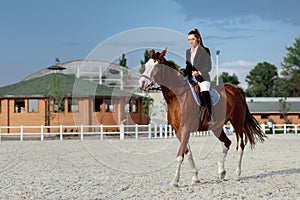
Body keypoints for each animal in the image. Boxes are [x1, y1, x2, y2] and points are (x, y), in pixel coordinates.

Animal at [139, 49, 268, 187]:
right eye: (146, 65)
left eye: (156, 66)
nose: (141, 83)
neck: (177, 96)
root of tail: (237, 90)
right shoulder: (178, 131)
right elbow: (187, 153)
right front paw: (195, 177)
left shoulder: (185, 129)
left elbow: (180, 156)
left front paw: (175, 181)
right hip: (217, 128)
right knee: (227, 143)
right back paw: (221, 172)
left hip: (237, 123)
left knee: (240, 146)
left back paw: (237, 174)